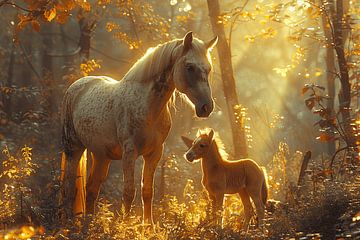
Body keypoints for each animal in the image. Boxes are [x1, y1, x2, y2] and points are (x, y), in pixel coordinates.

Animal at [59, 31, 217, 223]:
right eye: (189, 67)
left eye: (208, 69)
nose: (206, 107)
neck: (148, 106)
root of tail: (76, 86)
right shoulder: (129, 152)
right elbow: (129, 192)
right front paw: (126, 226)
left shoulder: (154, 153)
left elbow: (147, 191)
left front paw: (148, 226)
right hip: (74, 149)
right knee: (69, 188)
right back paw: (68, 224)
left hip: (101, 156)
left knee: (91, 190)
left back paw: (88, 224)